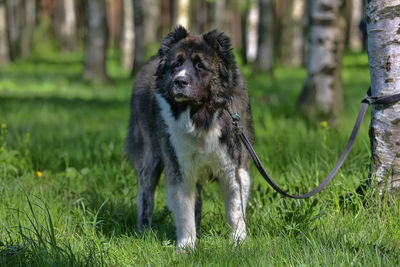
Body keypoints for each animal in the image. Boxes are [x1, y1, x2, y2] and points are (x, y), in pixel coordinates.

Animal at [126, 25, 255, 249]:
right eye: (176, 64)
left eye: (200, 66)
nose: (180, 81)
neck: (201, 116)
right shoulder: (179, 166)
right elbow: (184, 209)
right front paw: (186, 246)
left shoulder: (232, 167)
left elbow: (235, 208)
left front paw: (238, 241)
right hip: (150, 158)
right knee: (145, 194)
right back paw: (144, 232)